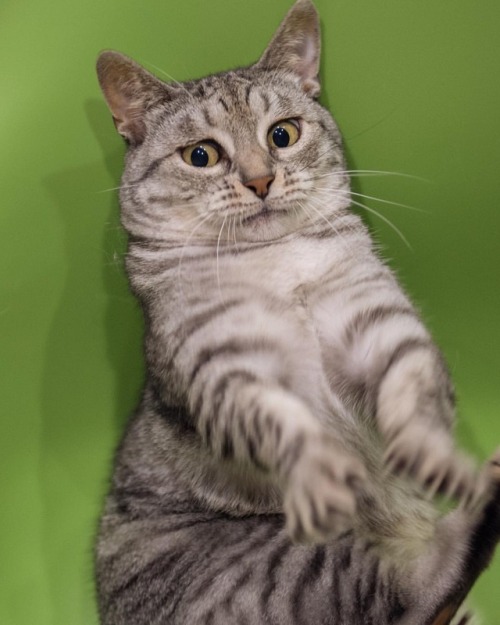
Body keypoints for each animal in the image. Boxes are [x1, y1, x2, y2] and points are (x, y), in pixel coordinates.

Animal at [94, 1, 500, 624]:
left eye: (282, 134)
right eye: (200, 155)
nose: (260, 180)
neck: (278, 266)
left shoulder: (377, 324)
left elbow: (414, 391)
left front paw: (431, 455)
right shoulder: (224, 368)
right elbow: (284, 422)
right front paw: (322, 469)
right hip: (282, 565)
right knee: (417, 588)